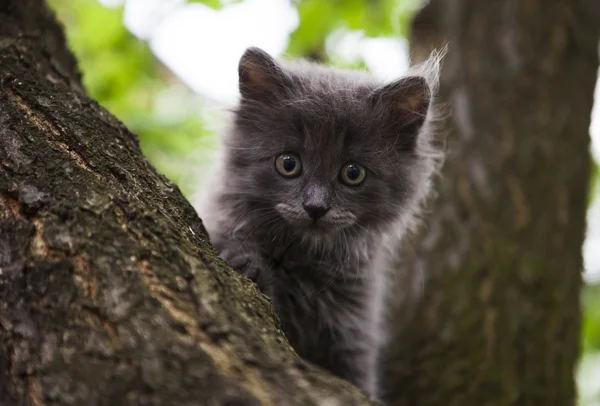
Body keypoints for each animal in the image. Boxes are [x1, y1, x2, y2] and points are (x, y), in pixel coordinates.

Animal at [199, 46, 442, 396]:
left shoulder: (354, 331)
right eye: (288, 164)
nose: (315, 207)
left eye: (353, 173)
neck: (303, 263)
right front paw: (246, 262)